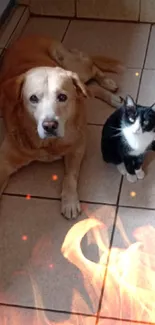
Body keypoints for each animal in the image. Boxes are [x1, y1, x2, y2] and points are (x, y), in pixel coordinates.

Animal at [0, 36, 123, 219]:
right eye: (33, 98)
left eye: (62, 97)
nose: (50, 125)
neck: (49, 145)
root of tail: (29, 36)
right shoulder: (4, 161)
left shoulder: (78, 146)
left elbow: (70, 176)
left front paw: (69, 201)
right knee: (89, 89)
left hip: (74, 67)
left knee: (91, 66)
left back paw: (109, 84)